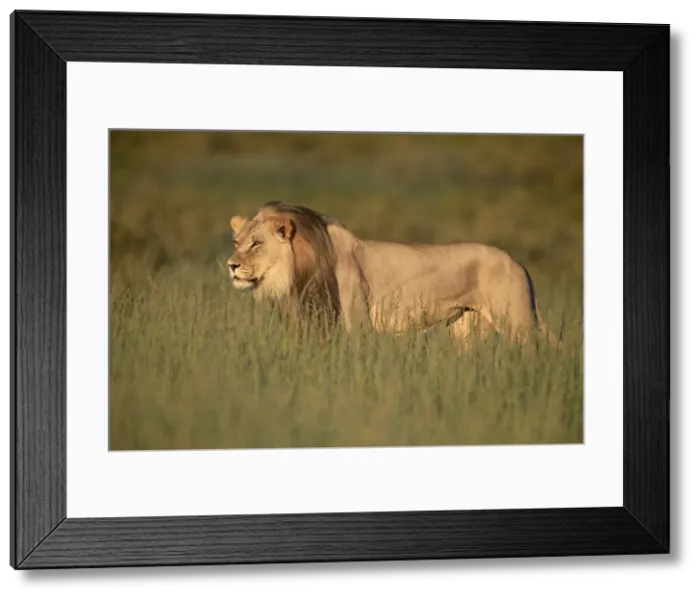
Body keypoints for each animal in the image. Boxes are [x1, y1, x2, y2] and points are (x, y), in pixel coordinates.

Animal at [227, 201, 560, 349]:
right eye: (237, 242)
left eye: (256, 244)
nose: (231, 265)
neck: (297, 273)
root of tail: (518, 262)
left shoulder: (356, 324)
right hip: (466, 328)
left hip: (517, 324)